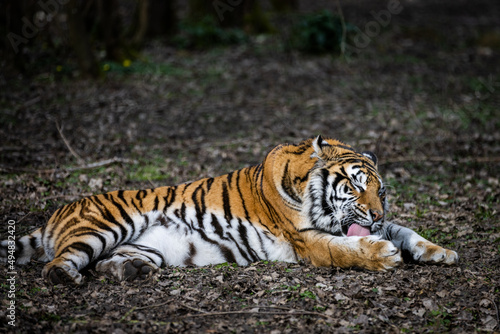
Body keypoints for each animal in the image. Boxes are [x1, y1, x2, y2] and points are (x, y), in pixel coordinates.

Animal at [0, 136, 458, 284]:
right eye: (357, 187)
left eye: (382, 191)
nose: (376, 214)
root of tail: (57, 214)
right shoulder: (307, 240)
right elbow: (344, 250)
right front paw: (382, 255)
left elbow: (407, 231)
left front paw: (442, 252)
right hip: (104, 226)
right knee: (56, 265)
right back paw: (66, 277)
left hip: (140, 246)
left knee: (110, 262)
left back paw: (131, 271)